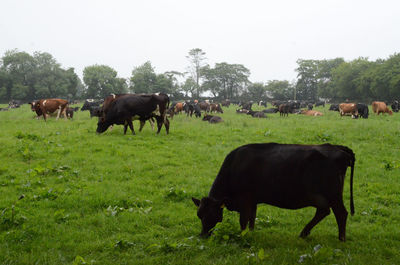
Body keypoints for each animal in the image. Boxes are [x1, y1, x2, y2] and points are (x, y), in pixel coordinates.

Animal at [192, 143, 354, 240]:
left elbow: (243, 220)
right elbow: (252, 218)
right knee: (323, 211)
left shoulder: (244, 199)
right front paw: (251, 233)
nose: (203, 235)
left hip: (332, 194)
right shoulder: (253, 201)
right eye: (199, 215)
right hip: (322, 196)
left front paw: (242, 235)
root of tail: (339, 148)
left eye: (213, 215)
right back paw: (304, 233)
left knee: (340, 213)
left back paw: (341, 239)